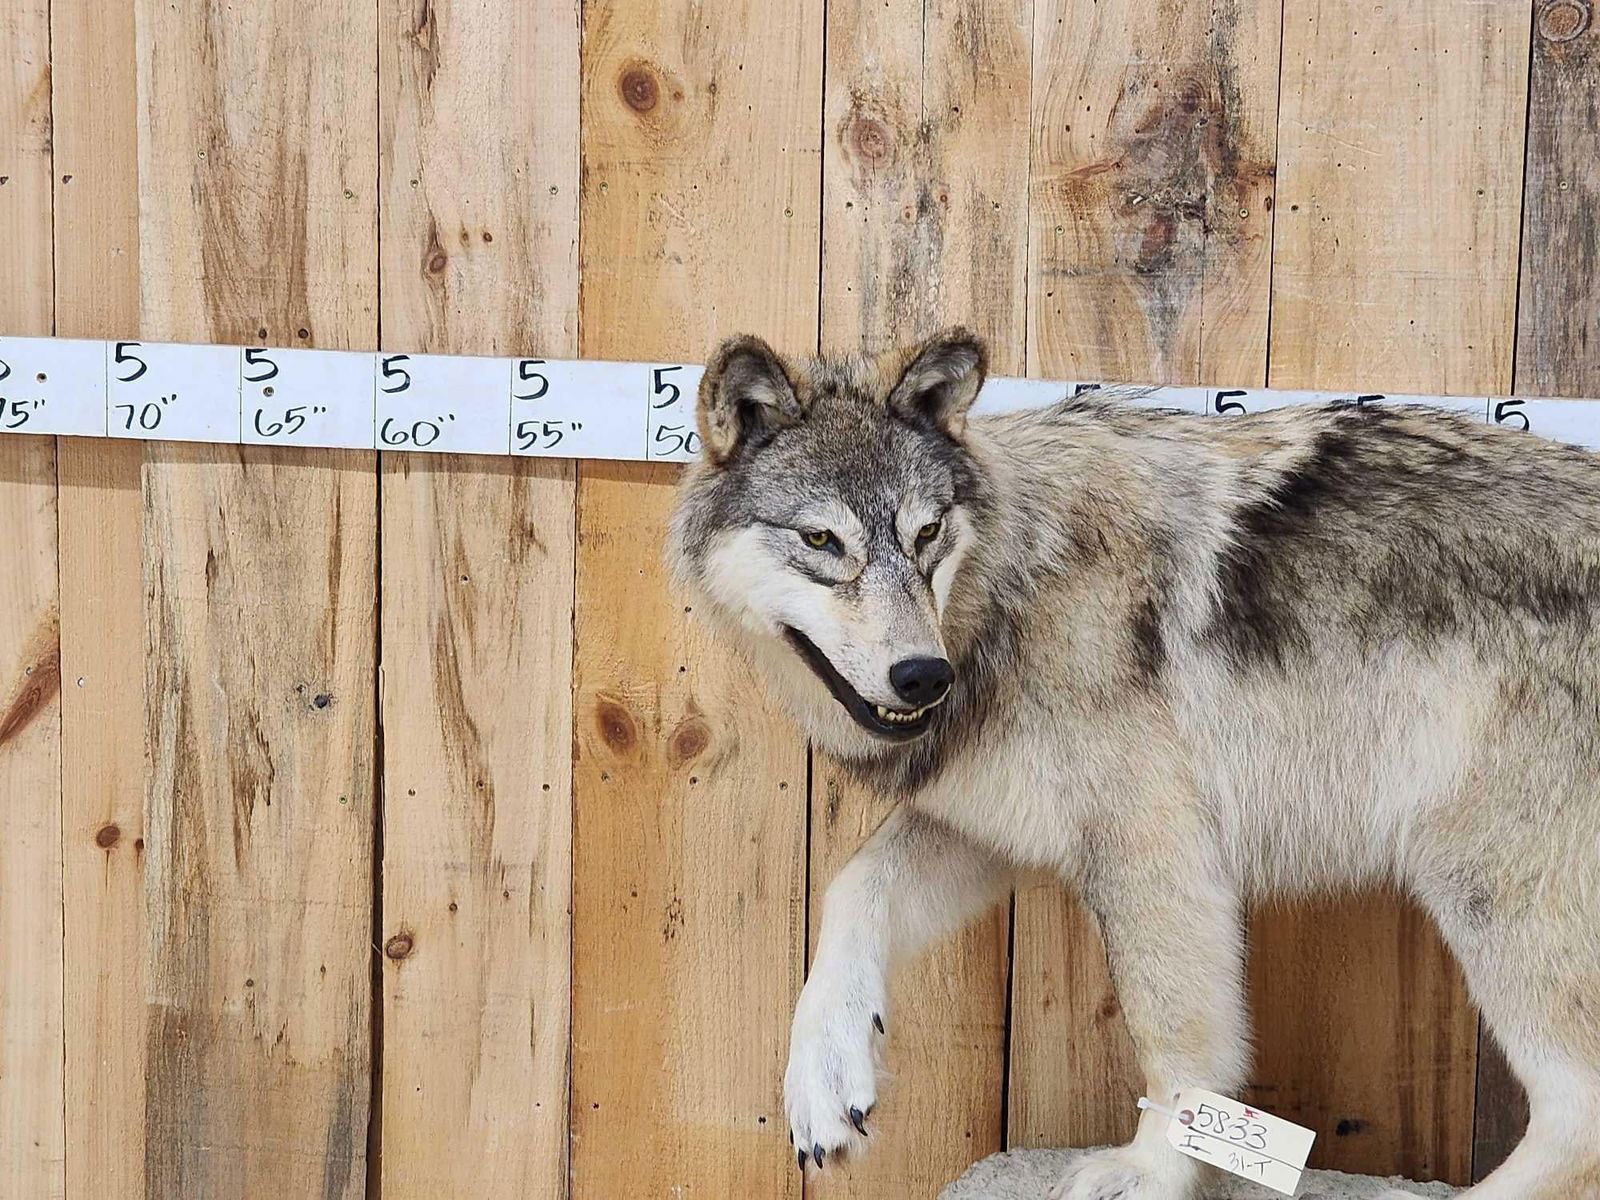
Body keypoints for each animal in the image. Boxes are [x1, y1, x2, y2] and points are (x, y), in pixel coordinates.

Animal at [665, 328, 1600, 1200]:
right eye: (822, 538)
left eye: (926, 533)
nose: (923, 676)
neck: (1016, 586)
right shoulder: (989, 825)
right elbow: (851, 889)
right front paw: (824, 1082)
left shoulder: (1152, 849)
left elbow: (1177, 1040)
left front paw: (1151, 1171)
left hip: (1488, 892)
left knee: (1578, 1116)